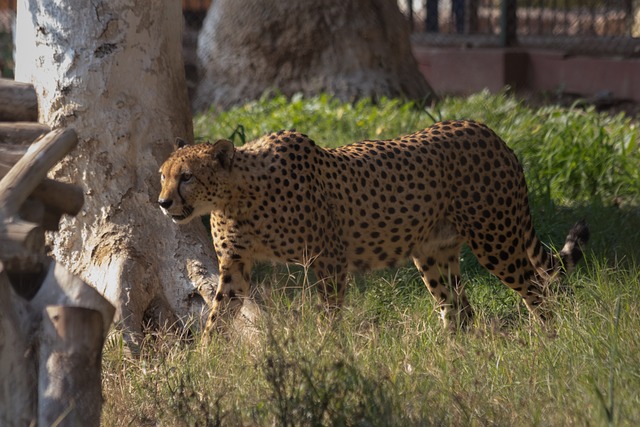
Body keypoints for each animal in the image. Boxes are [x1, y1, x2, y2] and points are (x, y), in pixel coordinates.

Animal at [158, 119, 588, 334]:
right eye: (163, 175)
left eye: (187, 177)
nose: (163, 203)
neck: (238, 197)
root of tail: (487, 131)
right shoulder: (235, 268)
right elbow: (216, 318)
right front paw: (204, 365)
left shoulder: (328, 260)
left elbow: (329, 314)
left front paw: (327, 352)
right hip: (432, 253)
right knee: (459, 308)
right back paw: (453, 359)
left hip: (495, 239)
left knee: (536, 290)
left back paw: (548, 342)